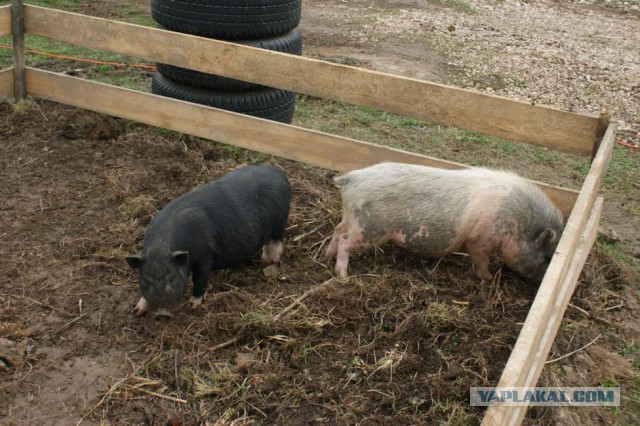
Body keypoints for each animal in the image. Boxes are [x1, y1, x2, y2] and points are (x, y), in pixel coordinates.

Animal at [126, 165, 292, 318]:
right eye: (146, 280)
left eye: (172, 278)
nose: (162, 313)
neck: (160, 244)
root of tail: (280, 173)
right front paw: (136, 310)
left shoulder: (205, 257)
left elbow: (200, 279)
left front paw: (193, 305)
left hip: (279, 222)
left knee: (277, 242)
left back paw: (268, 261)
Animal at [328, 163, 564, 282]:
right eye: (547, 257)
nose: (541, 284)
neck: (517, 220)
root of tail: (352, 178)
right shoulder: (481, 239)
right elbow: (480, 259)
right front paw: (487, 278)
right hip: (368, 229)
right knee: (345, 240)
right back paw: (343, 276)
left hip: (351, 218)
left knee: (338, 230)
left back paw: (326, 255)